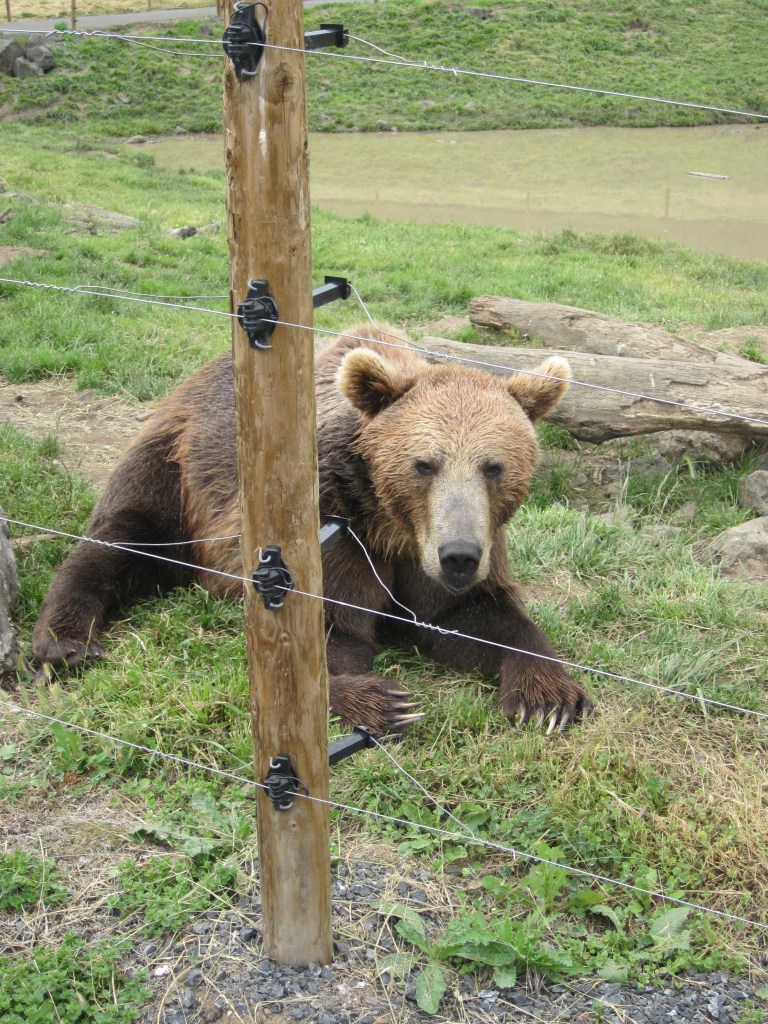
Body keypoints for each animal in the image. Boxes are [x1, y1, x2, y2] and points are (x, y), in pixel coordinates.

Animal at [32, 324, 591, 735]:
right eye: (425, 464)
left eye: (493, 467)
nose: (458, 554)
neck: (390, 524)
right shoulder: (332, 528)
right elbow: (327, 629)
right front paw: (384, 700)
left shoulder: (441, 554)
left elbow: (475, 615)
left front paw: (548, 696)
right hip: (179, 464)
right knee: (124, 540)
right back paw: (66, 641)